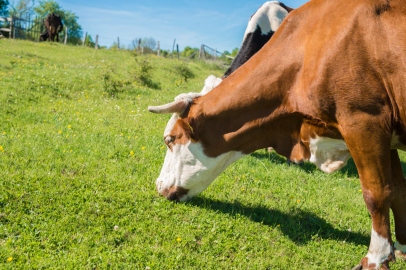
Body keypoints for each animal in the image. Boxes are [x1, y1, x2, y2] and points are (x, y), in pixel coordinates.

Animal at [148, 0, 406, 268]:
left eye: (169, 140)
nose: (157, 185)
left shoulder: (364, 121)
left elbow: (377, 193)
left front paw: (376, 257)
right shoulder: (387, 136)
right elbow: (398, 190)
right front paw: (401, 248)